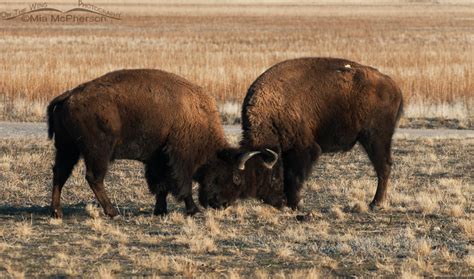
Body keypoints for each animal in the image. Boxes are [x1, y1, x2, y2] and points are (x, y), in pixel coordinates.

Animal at [47, 69, 236, 218]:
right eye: (222, 173)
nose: (224, 203)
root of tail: (69, 95)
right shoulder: (180, 159)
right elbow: (183, 185)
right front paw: (193, 210)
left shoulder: (158, 159)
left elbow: (161, 186)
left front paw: (161, 211)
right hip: (98, 151)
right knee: (94, 178)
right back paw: (113, 212)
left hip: (67, 148)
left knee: (60, 173)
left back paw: (57, 212)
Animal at [196, 58, 404, 212]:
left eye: (237, 178)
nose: (217, 203)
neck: (272, 111)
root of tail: (393, 86)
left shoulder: (303, 150)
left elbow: (293, 175)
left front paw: (294, 204)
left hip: (375, 138)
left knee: (383, 167)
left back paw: (375, 203)